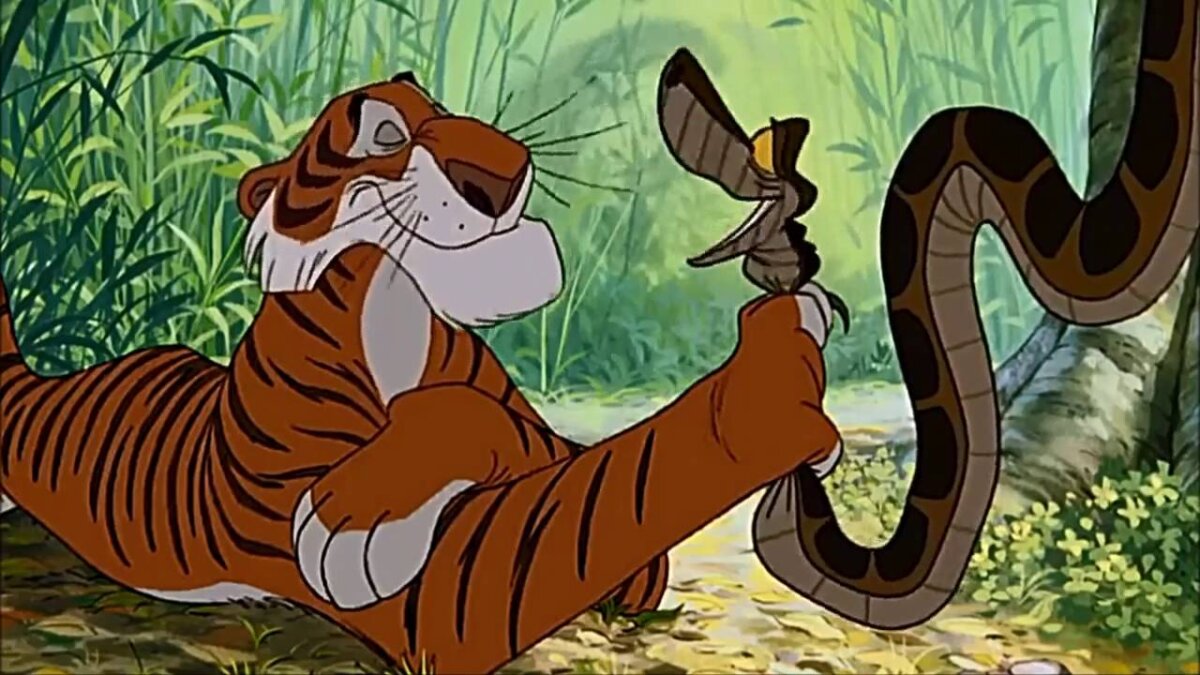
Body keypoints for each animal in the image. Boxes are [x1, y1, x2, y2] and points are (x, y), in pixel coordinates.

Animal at [0, 70, 845, 674]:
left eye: (440, 105)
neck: (398, 294)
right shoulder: (441, 599)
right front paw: (772, 385)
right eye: (383, 133)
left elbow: (508, 427)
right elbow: (594, 477)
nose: (505, 170)